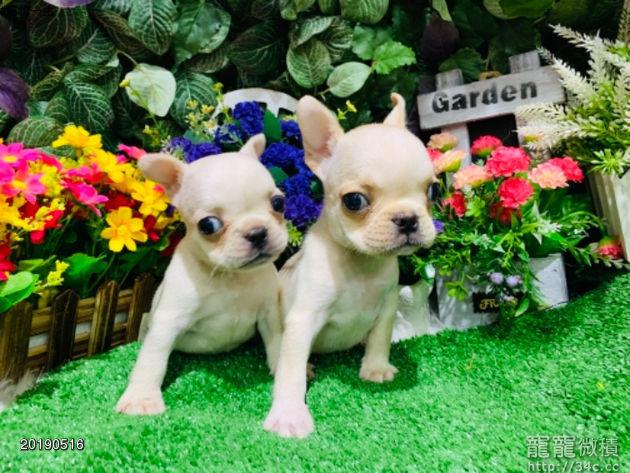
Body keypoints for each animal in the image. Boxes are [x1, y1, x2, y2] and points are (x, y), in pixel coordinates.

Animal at [116, 134, 288, 415]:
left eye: (279, 203)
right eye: (208, 225)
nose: (257, 232)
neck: (230, 277)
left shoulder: (269, 314)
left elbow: (277, 341)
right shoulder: (167, 322)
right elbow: (152, 359)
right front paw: (142, 397)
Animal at [263, 94, 436, 437]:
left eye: (431, 190)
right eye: (354, 201)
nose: (408, 219)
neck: (360, 263)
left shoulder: (387, 305)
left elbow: (381, 337)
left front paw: (376, 367)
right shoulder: (303, 319)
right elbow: (291, 372)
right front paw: (289, 414)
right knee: (277, 348)